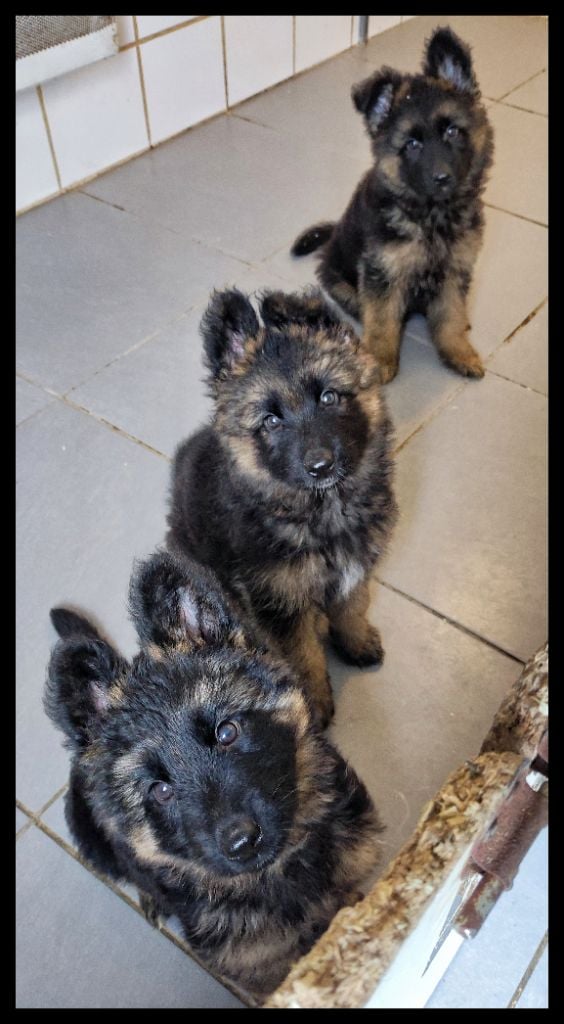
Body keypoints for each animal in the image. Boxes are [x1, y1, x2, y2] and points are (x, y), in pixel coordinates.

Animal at [166, 288, 397, 729]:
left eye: (328, 397)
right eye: (271, 421)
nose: (321, 465)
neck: (321, 510)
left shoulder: (356, 568)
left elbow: (352, 608)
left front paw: (356, 643)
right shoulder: (280, 601)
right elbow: (303, 655)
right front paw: (315, 704)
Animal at [290, 29, 495, 387]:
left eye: (452, 131)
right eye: (411, 145)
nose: (443, 178)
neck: (432, 217)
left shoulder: (455, 269)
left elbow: (451, 315)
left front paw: (458, 351)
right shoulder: (382, 274)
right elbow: (383, 322)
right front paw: (380, 361)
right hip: (341, 281)